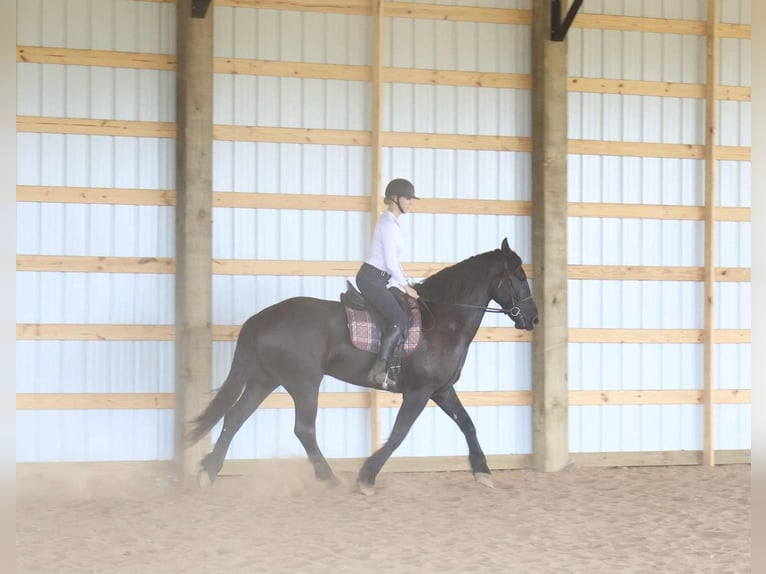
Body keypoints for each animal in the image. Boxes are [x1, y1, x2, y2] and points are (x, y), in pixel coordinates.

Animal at [187, 238, 539, 494]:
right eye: (520, 277)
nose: (534, 319)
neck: (443, 321)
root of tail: (260, 319)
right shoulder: (419, 392)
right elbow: (398, 433)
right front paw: (367, 477)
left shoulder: (441, 389)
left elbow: (467, 424)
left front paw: (483, 471)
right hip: (303, 383)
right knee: (303, 429)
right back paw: (327, 477)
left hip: (264, 379)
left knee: (234, 418)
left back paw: (208, 471)